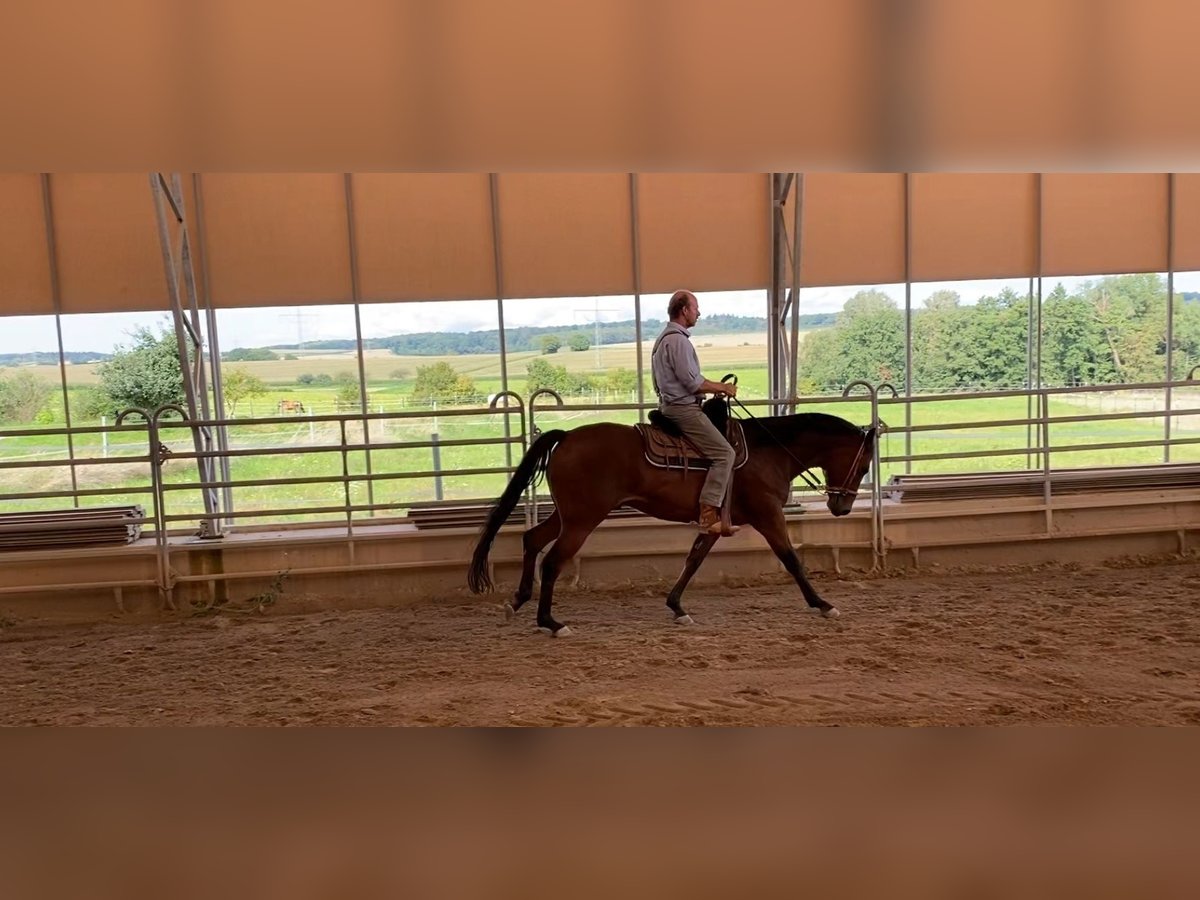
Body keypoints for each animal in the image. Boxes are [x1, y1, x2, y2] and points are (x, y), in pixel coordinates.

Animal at [465, 400, 873, 633]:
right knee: (552, 561)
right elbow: (791, 559)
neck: (767, 450)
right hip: (581, 520)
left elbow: (693, 559)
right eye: (865, 465)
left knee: (532, 540)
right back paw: (550, 622)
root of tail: (566, 437)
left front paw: (677, 608)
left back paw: (517, 602)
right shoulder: (768, 514)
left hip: (568, 515)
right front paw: (823, 605)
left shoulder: (715, 521)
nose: (842, 508)